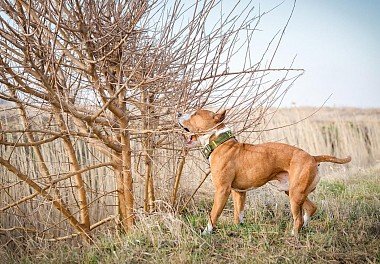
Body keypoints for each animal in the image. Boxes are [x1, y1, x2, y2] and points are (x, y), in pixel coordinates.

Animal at [178, 108, 350, 236]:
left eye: (195, 114)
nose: (178, 114)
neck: (219, 142)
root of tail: (312, 157)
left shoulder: (222, 190)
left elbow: (213, 214)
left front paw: (206, 233)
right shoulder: (239, 192)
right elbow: (238, 213)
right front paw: (238, 228)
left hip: (295, 194)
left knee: (298, 218)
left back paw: (294, 234)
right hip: (292, 191)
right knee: (311, 208)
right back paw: (304, 227)